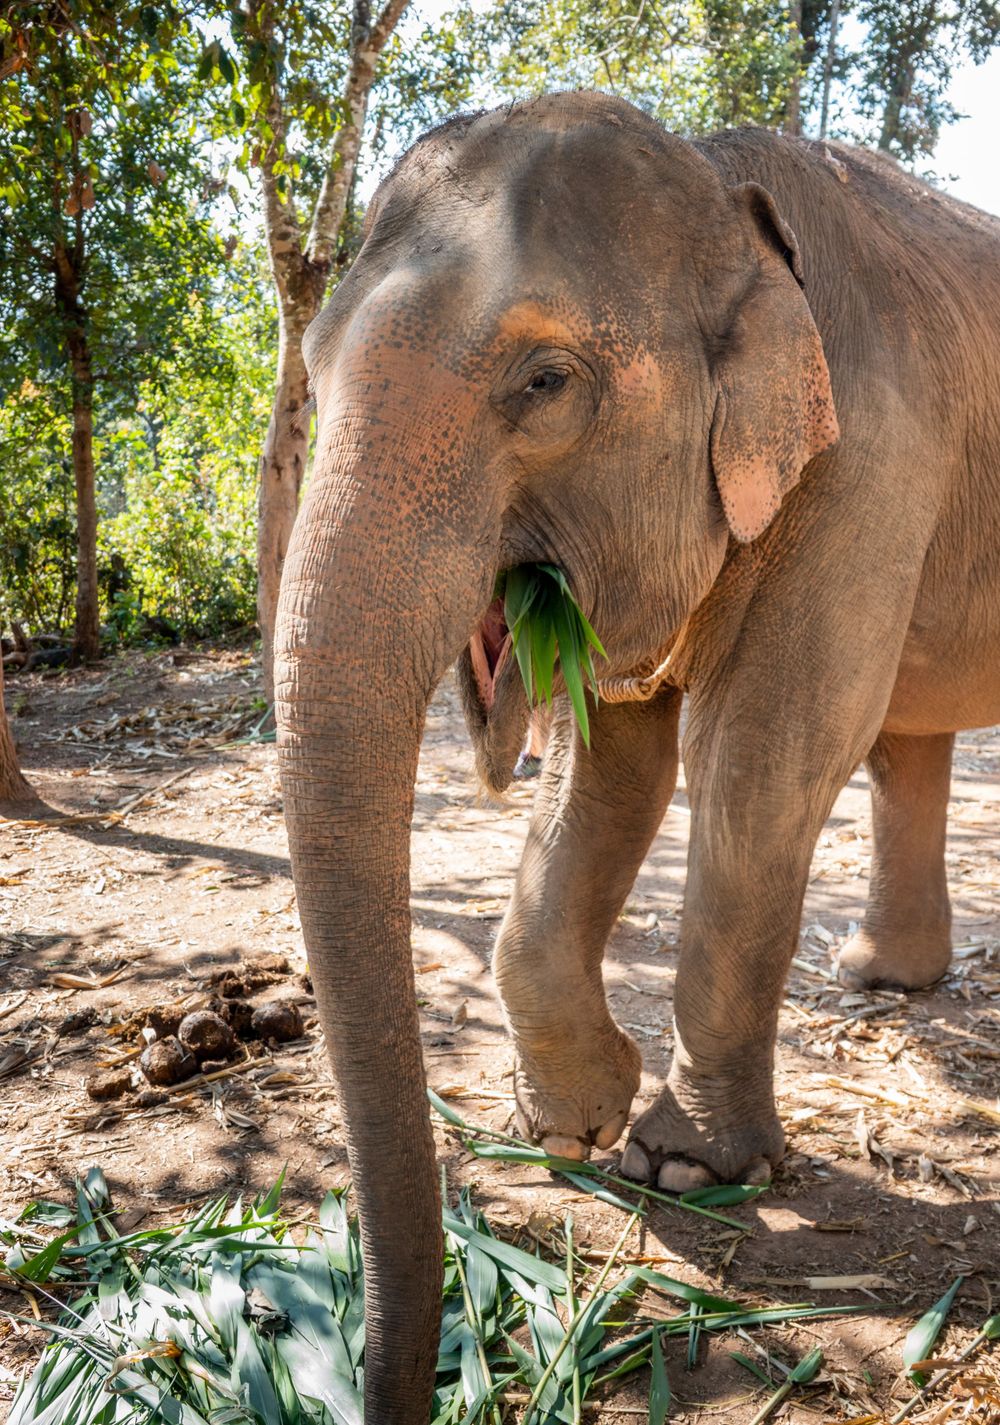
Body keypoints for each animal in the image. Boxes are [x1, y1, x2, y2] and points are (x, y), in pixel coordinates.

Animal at [273, 91, 1000, 1422]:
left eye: (545, 380)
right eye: (316, 366)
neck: (724, 191)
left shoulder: (873, 458)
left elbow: (762, 754)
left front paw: (685, 1165)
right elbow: (607, 763)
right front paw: (570, 1127)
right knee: (905, 741)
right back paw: (883, 981)